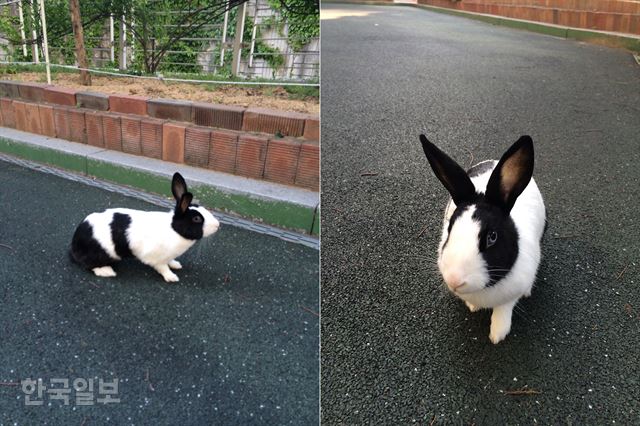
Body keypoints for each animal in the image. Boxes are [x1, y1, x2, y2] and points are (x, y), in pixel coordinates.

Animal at [420, 135, 544, 344]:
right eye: (450, 227)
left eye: (492, 237)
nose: (454, 280)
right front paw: (473, 307)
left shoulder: (511, 295)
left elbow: (504, 309)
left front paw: (497, 335)